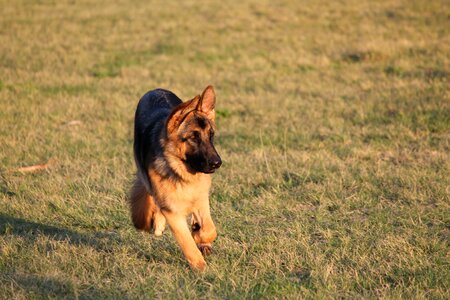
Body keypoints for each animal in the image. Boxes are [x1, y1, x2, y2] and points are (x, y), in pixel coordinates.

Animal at [128, 85, 221, 270]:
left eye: (211, 135)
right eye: (193, 137)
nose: (217, 163)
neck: (180, 170)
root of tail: (156, 89)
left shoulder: (201, 198)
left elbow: (209, 230)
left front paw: (200, 236)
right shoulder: (172, 211)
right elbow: (187, 242)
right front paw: (200, 267)